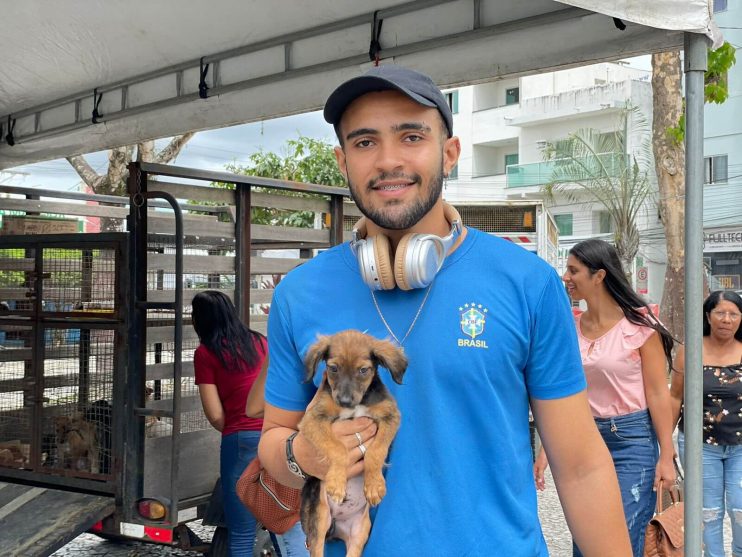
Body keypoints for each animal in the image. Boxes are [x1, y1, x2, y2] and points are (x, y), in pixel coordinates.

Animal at [300, 330, 410, 556]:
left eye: (363, 370)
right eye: (333, 368)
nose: (344, 401)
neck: (356, 405)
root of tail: (336, 526)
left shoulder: (390, 417)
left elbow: (376, 452)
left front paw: (374, 485)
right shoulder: (312, 419)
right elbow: (338, 448)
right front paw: (336, 482)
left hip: (360, 532)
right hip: (319, 519)